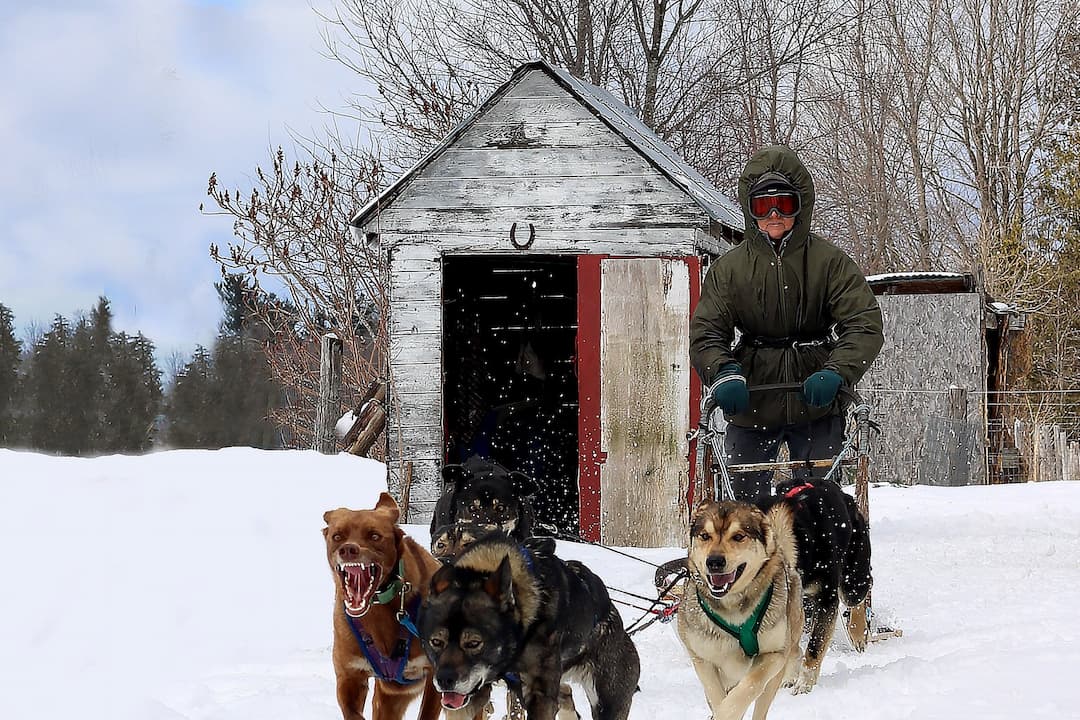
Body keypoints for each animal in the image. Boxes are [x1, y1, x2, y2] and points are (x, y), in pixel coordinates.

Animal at [321, 492, 440, 720]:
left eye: (374, 536)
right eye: (337, 536)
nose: (348, 549)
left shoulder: (438, 677)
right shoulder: (349, 676)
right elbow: (352, 712)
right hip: (389, 697)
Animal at [416, 533, 635, 720]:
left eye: (473, 643)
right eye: (436, 642)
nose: (444, 681)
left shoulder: (540, 694)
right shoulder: (473, 695)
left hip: (606, 701)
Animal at [678, 500, 807, 720]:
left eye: (738, 536)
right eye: (705, 535)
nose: (714, 562)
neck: (732, 607)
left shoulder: (773, 654)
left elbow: (747, 689)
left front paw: (726, 713)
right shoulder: (702, 658)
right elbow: (716, 695)